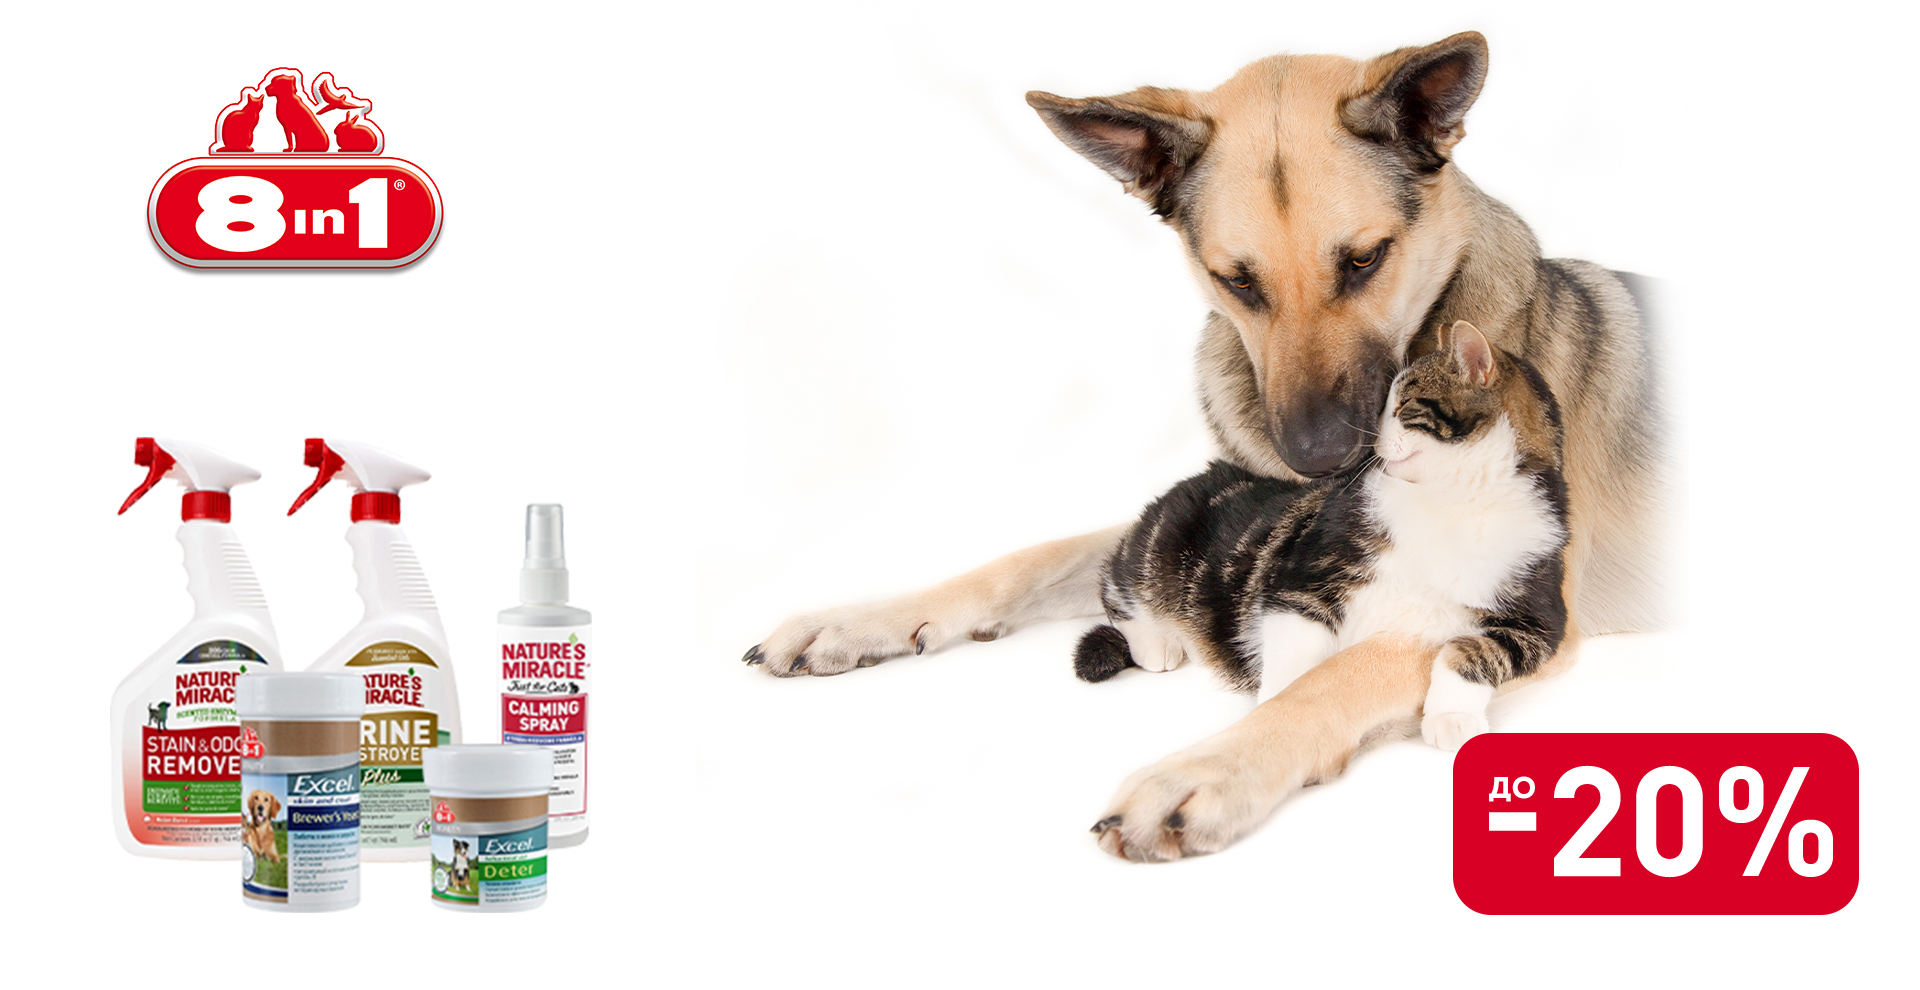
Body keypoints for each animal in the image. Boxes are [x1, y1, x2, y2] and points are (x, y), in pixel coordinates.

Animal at [1072, 320, 1570, 751]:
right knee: (1115, 582)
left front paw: (1452, 716)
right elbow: (1294, 646)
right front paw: (1275, 710)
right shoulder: (1302, 576)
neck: (1454, 499)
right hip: (1161, 545)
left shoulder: (1540, 618)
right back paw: (1154, 640)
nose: (1370, 444)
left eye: (1404, 406)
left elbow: (1473, 653)